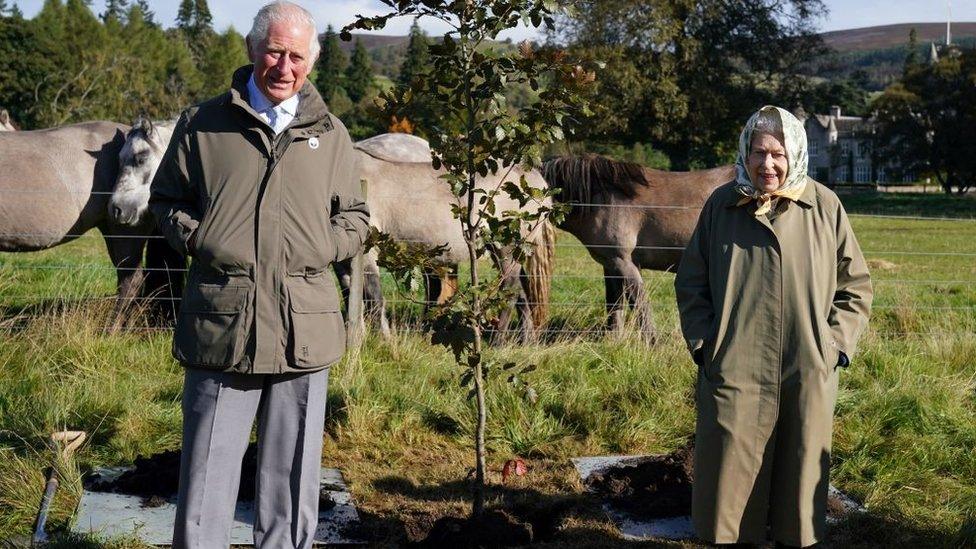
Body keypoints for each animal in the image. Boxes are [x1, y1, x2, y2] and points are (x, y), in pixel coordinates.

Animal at [540, 154, 732, 340]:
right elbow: (614, 305)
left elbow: (640, 304)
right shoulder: (611, 265)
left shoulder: (624, 262)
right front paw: (614, 341)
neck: (602, 199)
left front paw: (652, 343)